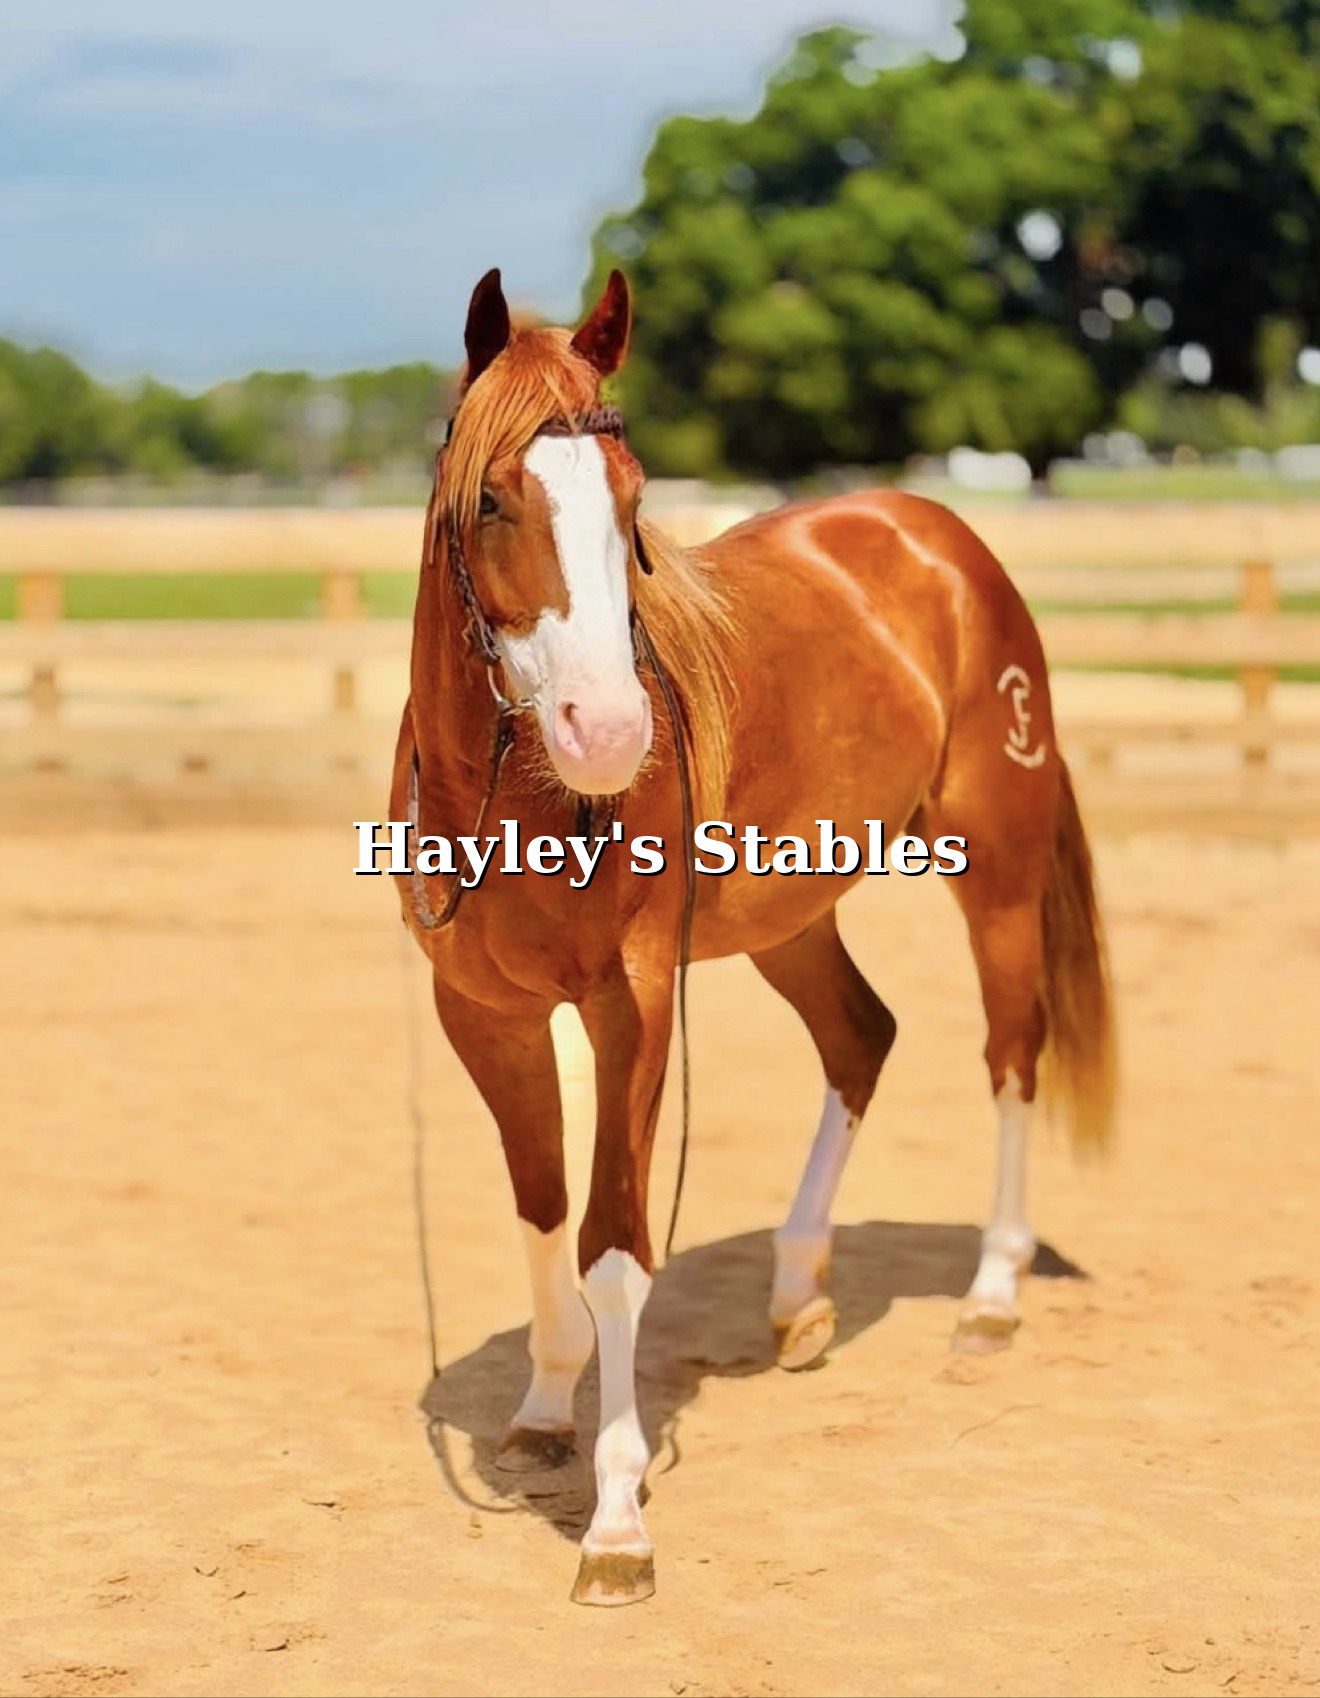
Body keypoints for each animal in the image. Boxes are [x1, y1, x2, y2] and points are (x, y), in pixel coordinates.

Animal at [387, 266, 1115, 1607]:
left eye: (632, 505)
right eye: (492, 499)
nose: (609, 732)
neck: (517, 799)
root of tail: (936, 537)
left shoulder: (632, 1005)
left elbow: (616, 1246)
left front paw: (619, 1523)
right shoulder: (486, 1015)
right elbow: (541, 1210)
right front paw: (544, 1406)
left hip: (994, 874)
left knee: (1011, 1056)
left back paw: (989, 1296)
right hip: (792, 918)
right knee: (862, 1037)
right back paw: (797, 1295)